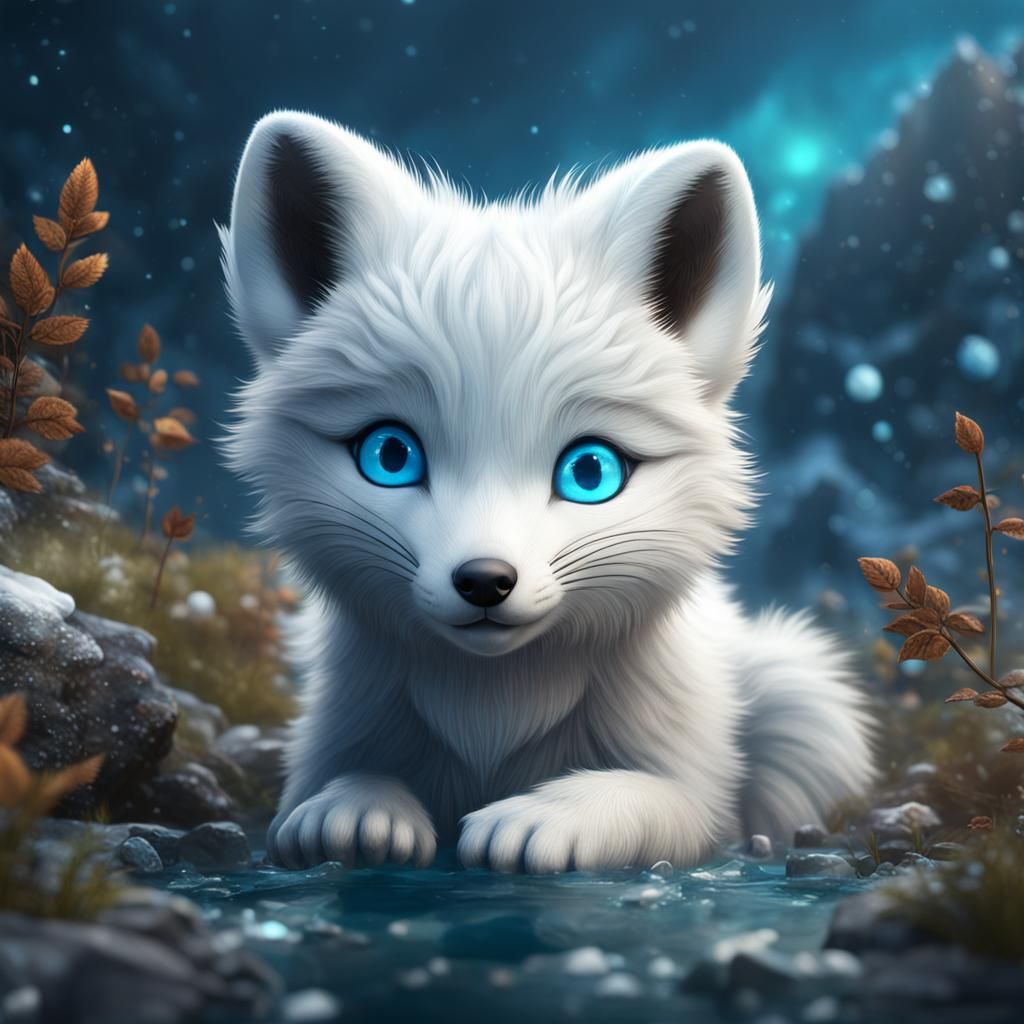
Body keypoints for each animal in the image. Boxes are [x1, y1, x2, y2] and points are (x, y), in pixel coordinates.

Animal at [221, 111, 874, 873]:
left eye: (590, 472)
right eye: (390, 456)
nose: (484, 580)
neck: (492, 710)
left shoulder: (698, 800)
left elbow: (639, 795)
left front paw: (543, 818)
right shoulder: (331, 738)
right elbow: (335, 787)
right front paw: (357, 810)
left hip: (802, 699)